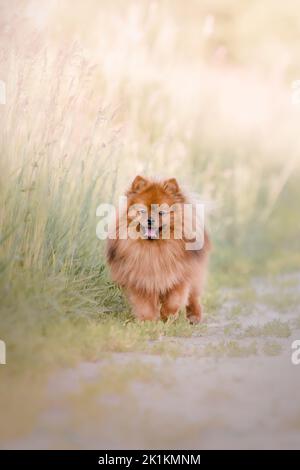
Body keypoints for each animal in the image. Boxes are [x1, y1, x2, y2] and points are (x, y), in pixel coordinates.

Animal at [105, 176, 211, 324]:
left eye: (161, 212)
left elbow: (173, 301)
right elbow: (144, 305)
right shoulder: (140, 280)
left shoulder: (179, 277)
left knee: (193, 297)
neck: (155, 250)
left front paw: (167, 317)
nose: (150, 220)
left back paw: (194, 317)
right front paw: (148, 321)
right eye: (142, 211)